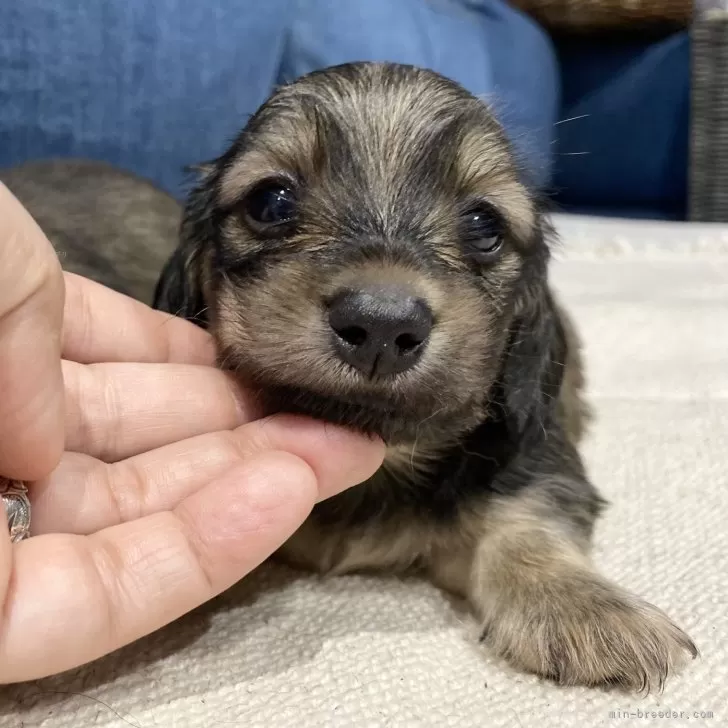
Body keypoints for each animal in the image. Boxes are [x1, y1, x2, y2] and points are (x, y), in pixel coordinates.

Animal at [1, 64, 700, 692]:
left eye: (484, 225)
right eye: (271, 201)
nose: (383, 326)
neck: (381, 468)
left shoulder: (536, 455)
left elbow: (529, 513)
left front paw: (587, 610)